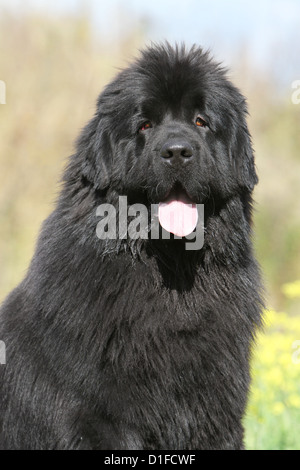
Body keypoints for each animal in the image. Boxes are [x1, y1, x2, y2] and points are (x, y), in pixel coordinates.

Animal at [0, 45, 262, 452]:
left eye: (201, 122)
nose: (177, 151)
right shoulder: (98, 419)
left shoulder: (214, 414)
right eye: (144, 125)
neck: (171, 276)